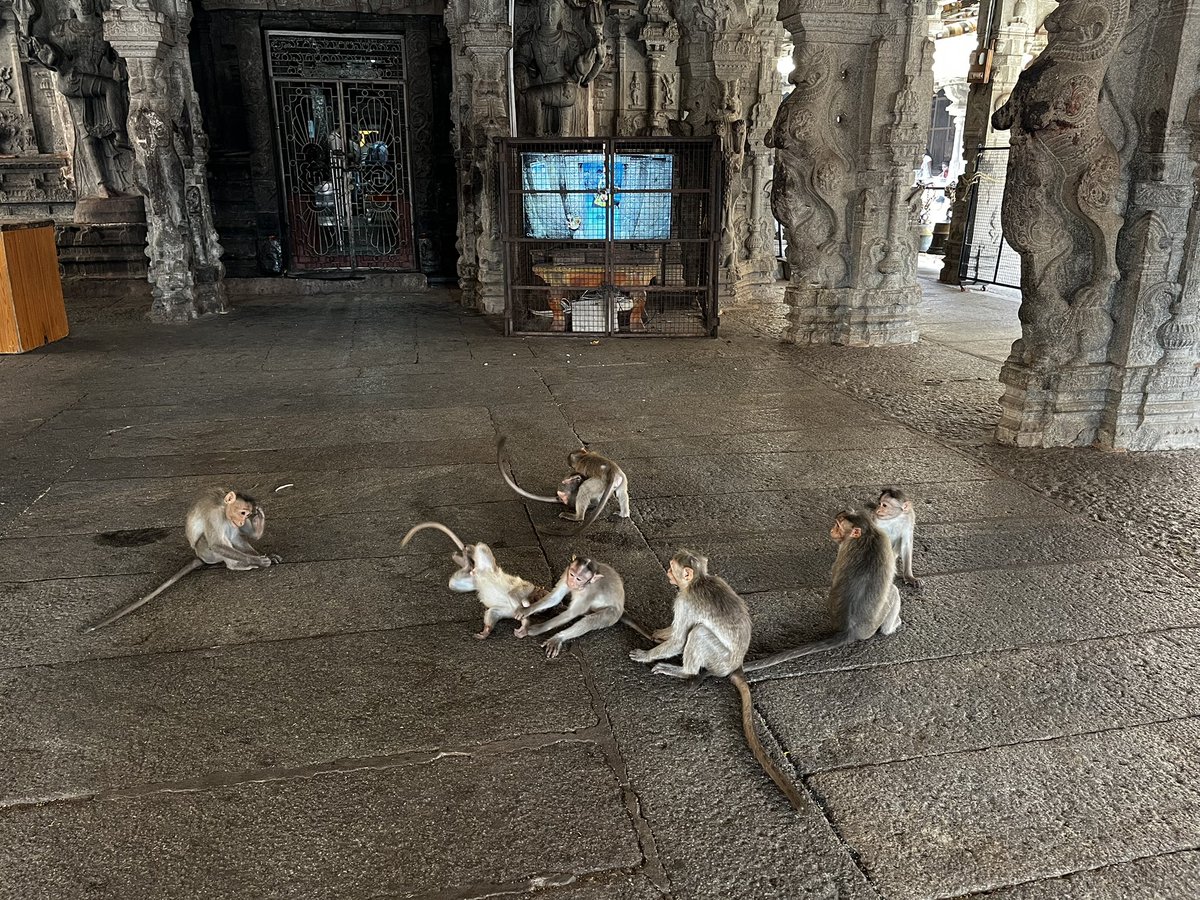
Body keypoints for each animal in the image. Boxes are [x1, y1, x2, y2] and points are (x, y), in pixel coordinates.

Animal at [84, 489, 281, 633]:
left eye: (247, 515)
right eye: (242, 512)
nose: (241, 521)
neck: (222, 505)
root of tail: (200, 556)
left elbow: (240, 535)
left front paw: (261, 538)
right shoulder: (215, 515)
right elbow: (217, 544)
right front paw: (257, 560)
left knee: (234, 535)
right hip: (206, 552)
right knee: (214, 541)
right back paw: (238, 565)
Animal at [401, 521, 546, 639]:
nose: (541, 610)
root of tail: (476, 571)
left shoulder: (506, 610)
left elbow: (493, 612)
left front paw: (488, 631)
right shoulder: (527, 587)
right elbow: (515, 594)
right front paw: (523, 609)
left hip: (470, 581)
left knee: (454, 583)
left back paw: (463, 561)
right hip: (486, 561)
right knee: (481, 547)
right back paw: (467, 551)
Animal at [628, 550, 806, 811]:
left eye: (671, 567)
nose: (668, 573)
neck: (699, 580)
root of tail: (735, 665)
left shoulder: (684, 601)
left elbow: (679, 639)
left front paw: (646, 654)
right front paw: (660, 633)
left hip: (717, 659)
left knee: (699, 633)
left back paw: (685, 671)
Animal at [743, 510, 901, 674]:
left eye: (838, 526)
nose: (832, 530)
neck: (867, 534)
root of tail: (849, 630)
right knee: (894, 591)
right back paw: (891, 627)